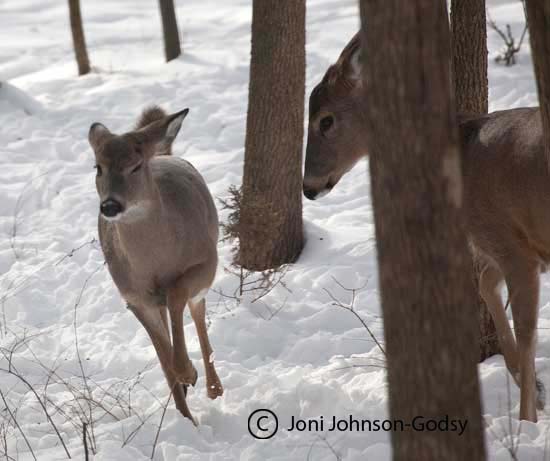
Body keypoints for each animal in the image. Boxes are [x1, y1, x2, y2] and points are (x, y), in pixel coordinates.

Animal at [88, 106, 224, 422]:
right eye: (98, 167)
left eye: (136, 166)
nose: (110, 205)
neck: (154, 262)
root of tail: (162, 152)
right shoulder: (133, 297)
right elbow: (164, 358)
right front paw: (185, 389)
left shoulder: (206, 260)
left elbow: (177, 295)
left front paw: (189, 372)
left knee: (197, 314)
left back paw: (213, 387)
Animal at [304, 31, 548, 420]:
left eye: (326, 120)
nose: (308, 187)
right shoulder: (512, 246)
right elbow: (485, 285)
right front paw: (536, 391)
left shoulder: (512, 244)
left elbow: (527, 331)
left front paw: (527, 418)